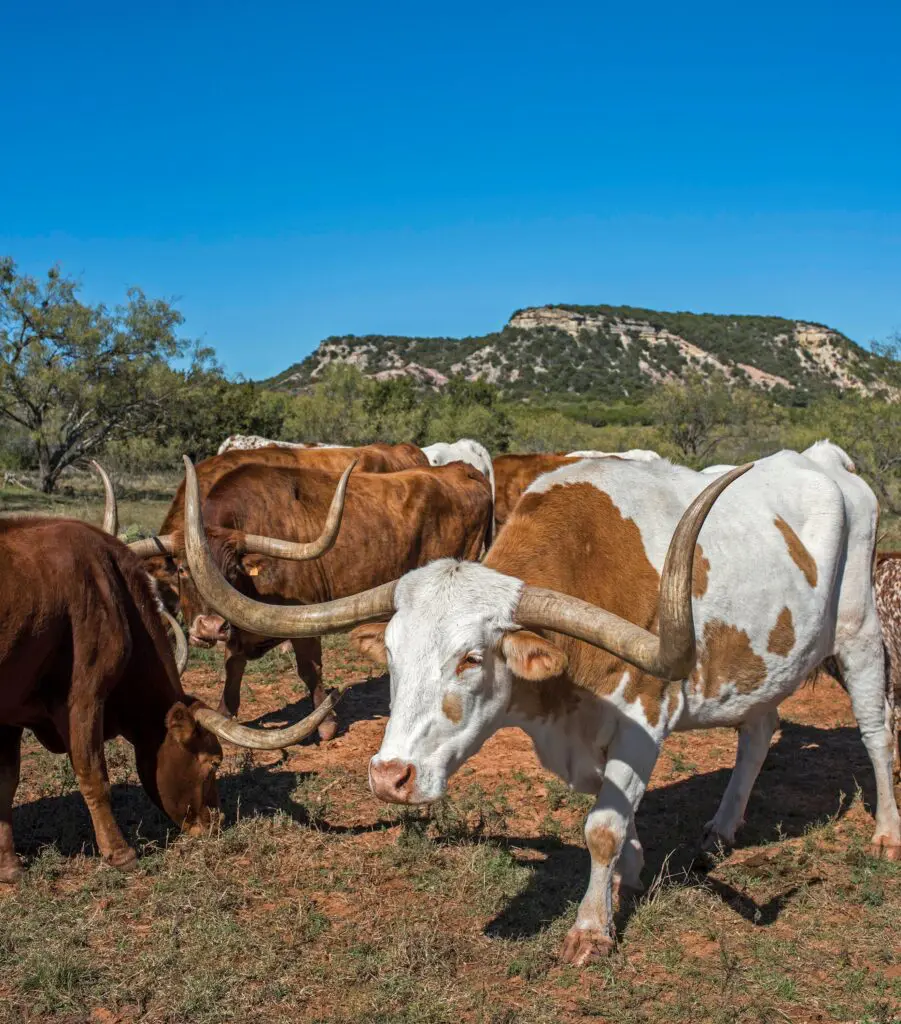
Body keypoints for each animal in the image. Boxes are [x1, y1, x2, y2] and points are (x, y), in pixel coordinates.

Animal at [157, 459, 491, 740]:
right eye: (183, 570)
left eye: (233, 570)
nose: (209, 628)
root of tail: (459, 468)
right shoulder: (239, 628)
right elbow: (232, 666)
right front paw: (225, 714)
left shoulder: (304, 620)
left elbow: (309, 669)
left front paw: (326, 722)